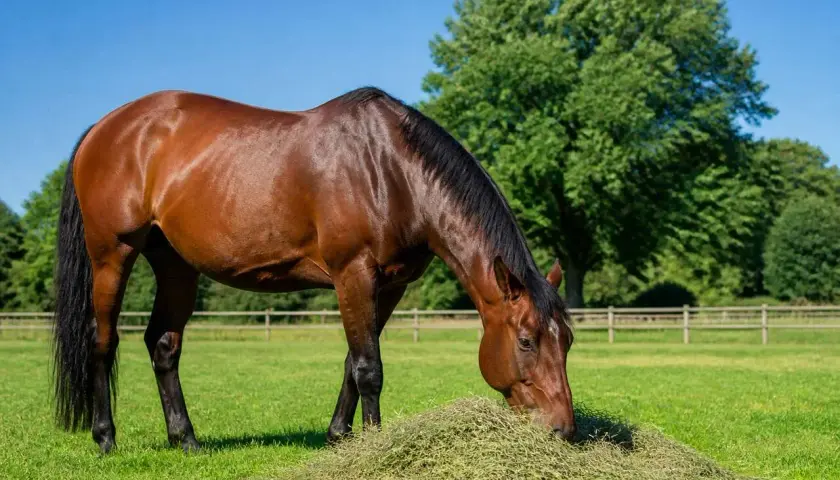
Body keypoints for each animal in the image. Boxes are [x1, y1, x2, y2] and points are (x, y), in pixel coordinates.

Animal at [52, 87, 576, 453]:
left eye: (567, 340)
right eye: (526, 341)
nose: (563, 430)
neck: (391, 170)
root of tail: (104, 127)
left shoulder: (388, 286)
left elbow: (352, 362)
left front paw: (339, 436)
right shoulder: (353, 273)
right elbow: (369, 369)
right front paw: (372, 445)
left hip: (176, 265)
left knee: (163, 345)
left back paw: (187, 440)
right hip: (112, 254)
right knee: (103, 341)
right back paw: (105, 438)